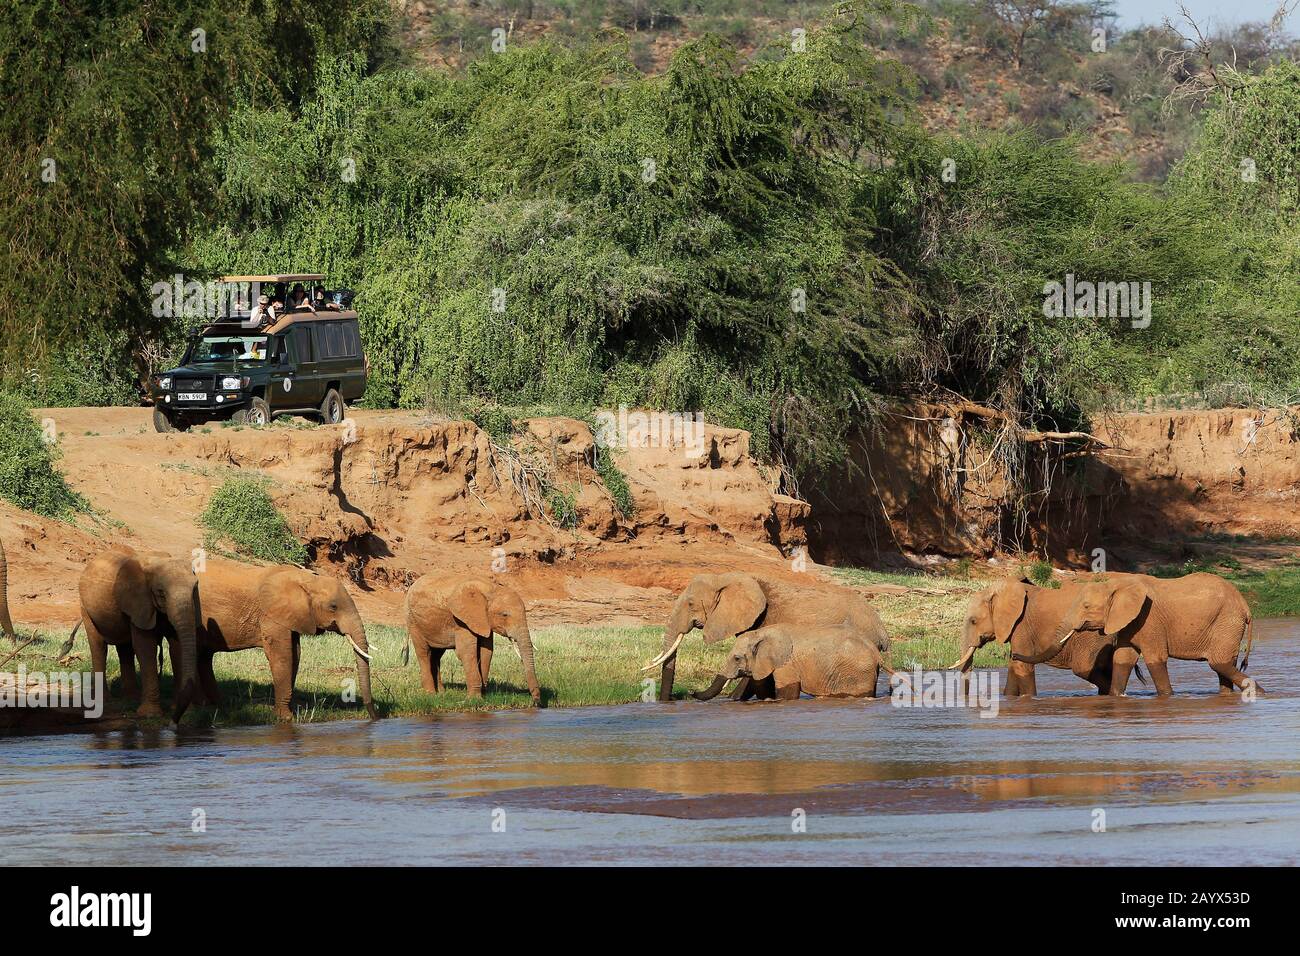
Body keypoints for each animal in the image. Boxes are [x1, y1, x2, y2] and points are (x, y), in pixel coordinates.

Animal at [403, 572, 540, 707]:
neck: (492, 588)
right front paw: (474, 700)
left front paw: (483, 695)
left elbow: (486, 652)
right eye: (504, 615)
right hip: (413, 621)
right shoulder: (461, 621)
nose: (536, 702)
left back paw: (441, 693)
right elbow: (466, 652)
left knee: (436, 655)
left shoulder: (484, 620)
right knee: (424, 653)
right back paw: (430, 695)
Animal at [702, 624, 894, 697]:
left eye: (737, 658)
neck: (762, 633)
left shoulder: (786, 664)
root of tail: (876, 653)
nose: (694, 693)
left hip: (857, 673)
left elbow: (788, 691)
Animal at [951, 574, 1133, 697]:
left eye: (973, 621)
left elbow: (1021, 666)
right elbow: (1014, 666)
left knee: (1083, 668)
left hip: (1095, 636)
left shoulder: (1021, 624)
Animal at [1013, 567, 1258, 697]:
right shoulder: (1128, 623)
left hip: (1227, 622)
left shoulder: (1149, 620)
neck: (1117, 584)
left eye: (1086, 606)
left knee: (1219, 663)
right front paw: (1116, 697)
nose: (1014, 654)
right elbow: (1123, 658)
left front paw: (1167, 697)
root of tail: (1246, 605)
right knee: (1224, 666)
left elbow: (1155, 659)